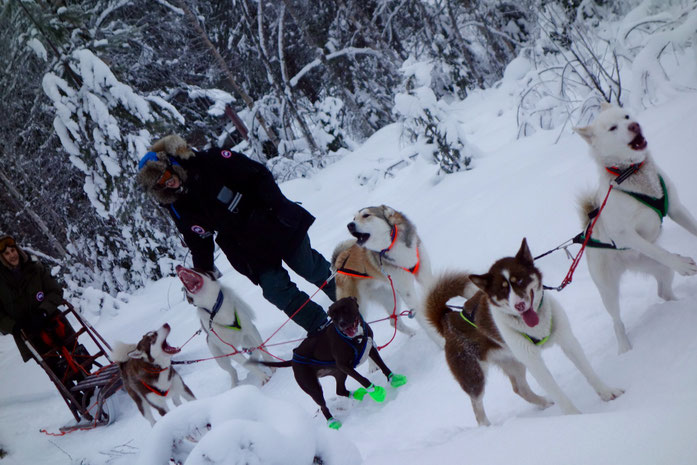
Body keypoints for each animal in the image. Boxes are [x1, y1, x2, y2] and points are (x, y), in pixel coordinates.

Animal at [260, 298, 402, 428]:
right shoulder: (344, 365)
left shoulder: (370, 349)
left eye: (346, 309)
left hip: (339, 373)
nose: (342, 323)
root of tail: (294, 358)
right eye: (333, 316)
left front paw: (393, 379)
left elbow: (383, 366)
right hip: (314, 387)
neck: (355, 338)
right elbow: (362, 379)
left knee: (340, 390)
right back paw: (332, 421)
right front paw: (375, 391)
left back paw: (356, 394)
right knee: (323, 406)